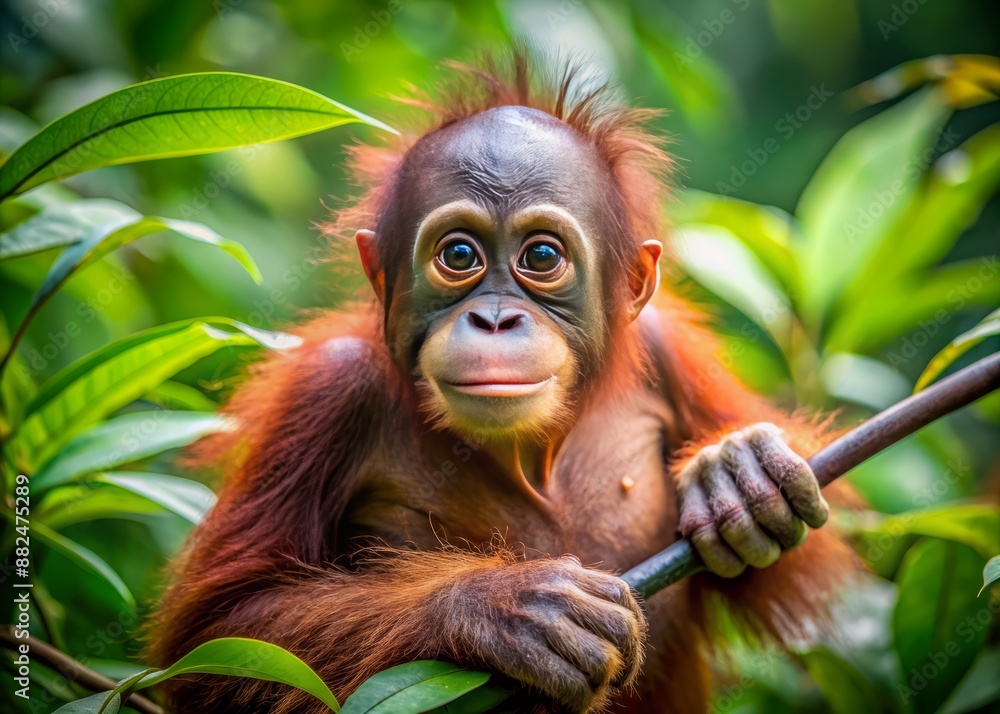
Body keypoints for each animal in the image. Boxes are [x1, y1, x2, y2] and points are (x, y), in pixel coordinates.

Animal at [147, 49, 857, 714]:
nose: (494, 319)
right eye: (459, 255)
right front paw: (510, 610)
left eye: (540, 256)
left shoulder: (667, 349)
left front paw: (735, 471)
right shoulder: (328, 390)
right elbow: (221, 634)